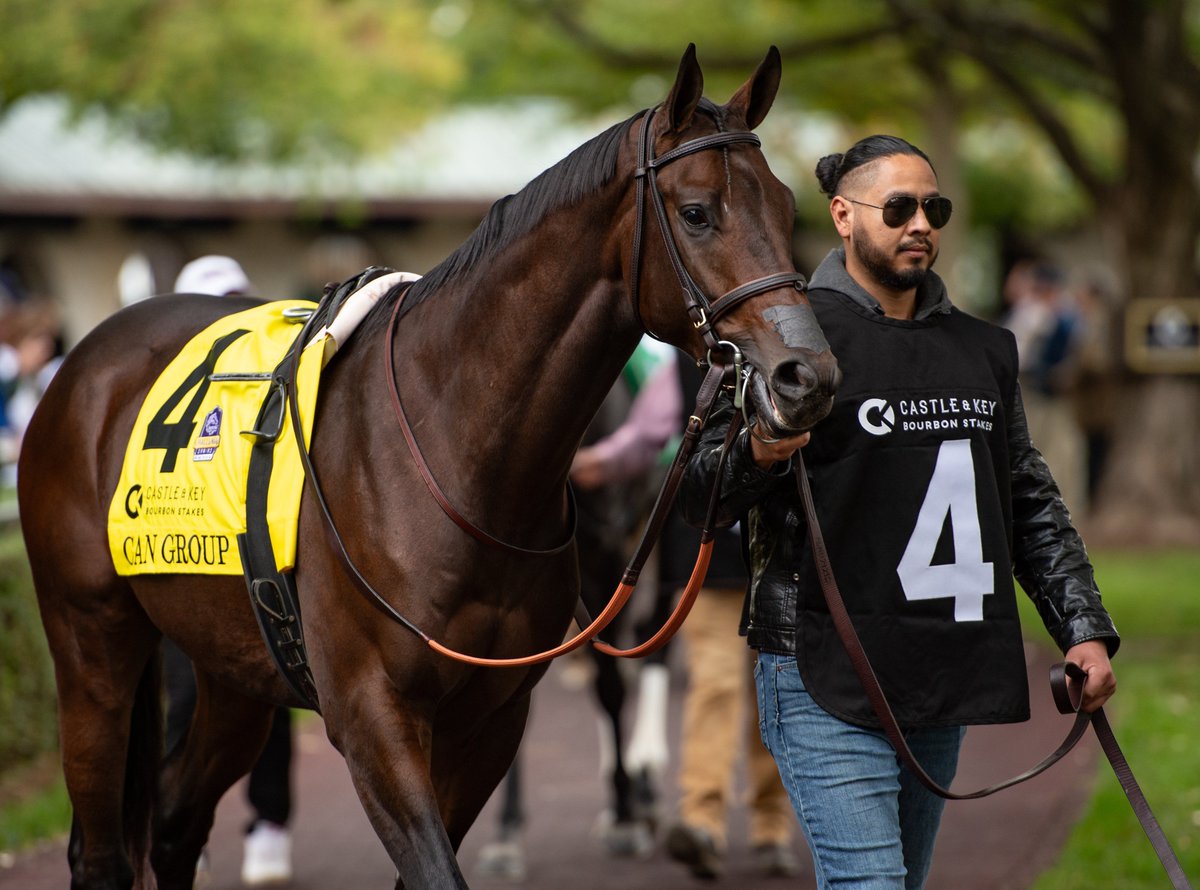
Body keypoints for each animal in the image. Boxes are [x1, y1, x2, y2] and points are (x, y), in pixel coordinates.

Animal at [21, 45, 844, 887]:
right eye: (698, 212)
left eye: (787, 209)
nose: (805, 377)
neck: (458, 454)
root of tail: (87, 356)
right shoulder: (372, 715)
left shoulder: (492, 712)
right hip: (90, 644)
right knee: (103, 848)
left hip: (233, 665)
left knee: (177, 822)